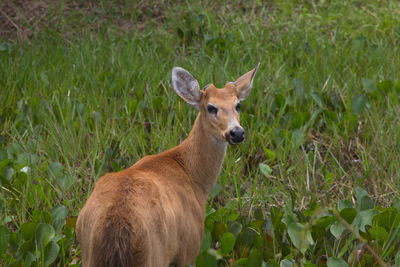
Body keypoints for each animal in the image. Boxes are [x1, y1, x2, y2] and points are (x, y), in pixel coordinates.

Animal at [76, 65, 260, 267]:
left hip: (91, 255)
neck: (193, 175)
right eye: (211, 107)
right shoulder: (190, 245)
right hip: (152, 255)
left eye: (238, 105)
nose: (237, 133)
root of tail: (116, 228)